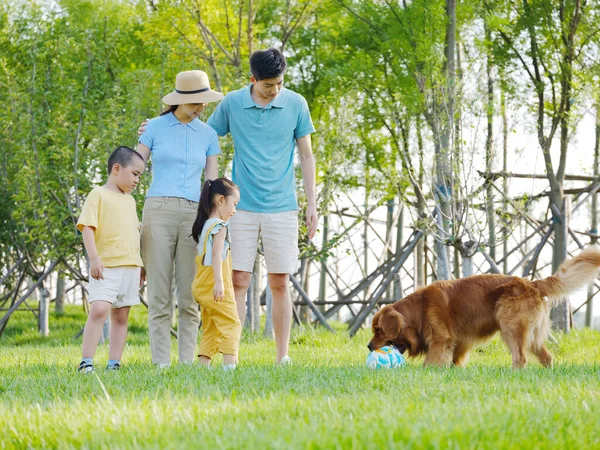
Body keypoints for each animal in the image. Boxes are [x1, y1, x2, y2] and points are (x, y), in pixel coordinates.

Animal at [368, 246, 600, 370]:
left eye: (379, 330)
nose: (369, 346)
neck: (420, 308)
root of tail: (531, 283)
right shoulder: (459, 342)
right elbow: (455, 360)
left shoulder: (441, 340)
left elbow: (430, 362)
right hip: (533, 335)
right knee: (546, 357)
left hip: (510, 327)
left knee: (520, 358)